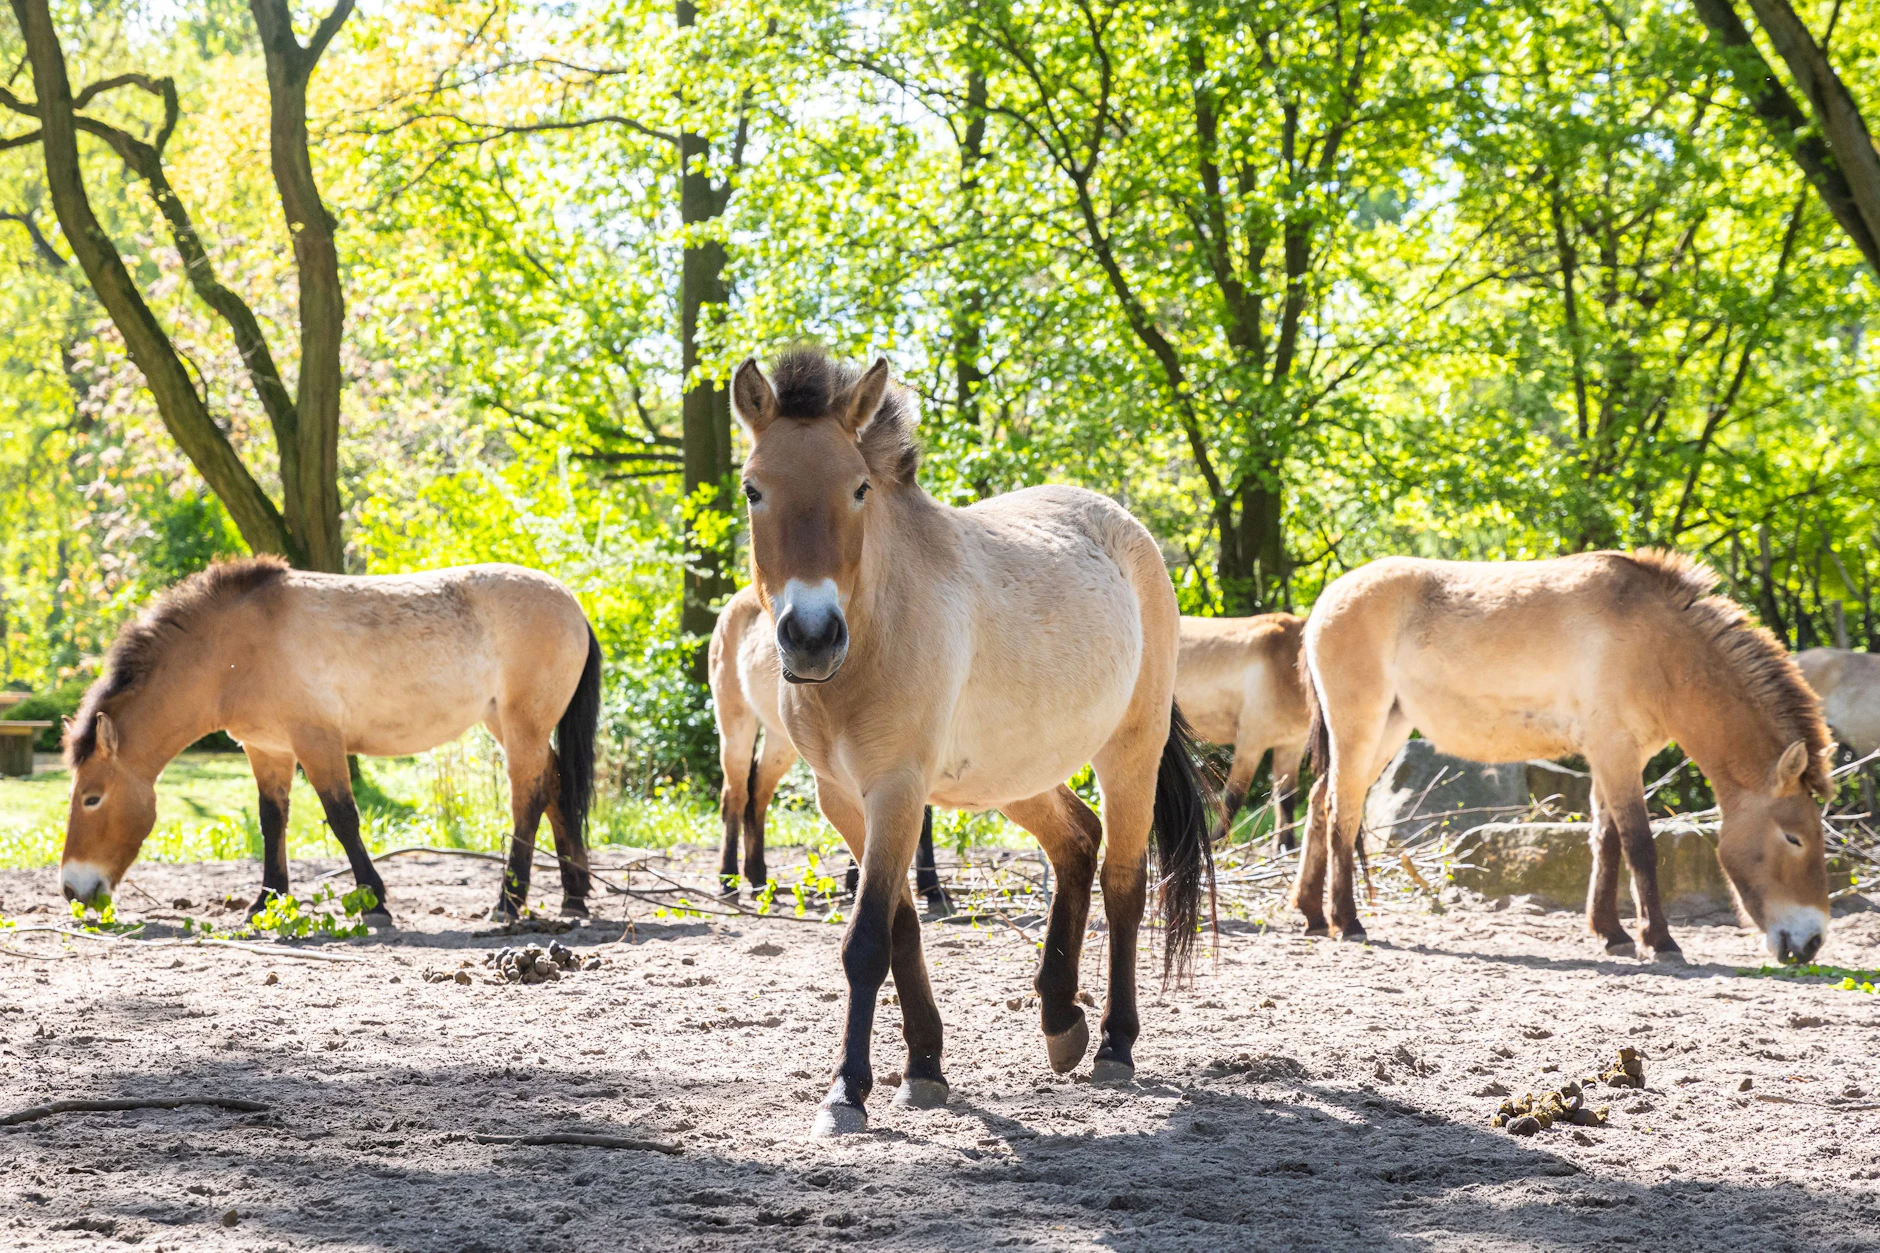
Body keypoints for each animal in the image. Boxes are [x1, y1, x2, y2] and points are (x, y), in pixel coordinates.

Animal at [59, 558, 600, 923]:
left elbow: (342, 818)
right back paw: (573, 895)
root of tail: (572, 604)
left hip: (522, 725)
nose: (71, 889)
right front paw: (266, 901)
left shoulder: (316, 741)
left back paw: (508, 902)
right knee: (554, 785)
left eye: (91, 798)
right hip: (507, 725)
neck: (233, 648)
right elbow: (272, 821)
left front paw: (375, 901)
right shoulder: (268, 749)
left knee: (528, 797)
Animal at [709, 585, 946, 910]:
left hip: (781, 741)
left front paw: (929, 887)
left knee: (757, 791)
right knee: (734, 795)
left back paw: (758, 879)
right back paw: (727, 881)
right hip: (736, 725)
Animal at [1176, 613, 1309, 848]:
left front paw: (1286, 847)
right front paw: (1215, 843)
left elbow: (1286, 798)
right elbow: (1233, 797)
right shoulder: (1251, 741)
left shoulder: (1291, 745)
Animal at [1291, 550, 1834, 965]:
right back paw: (1346, 922)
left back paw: (1313, 915)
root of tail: (1326, 600)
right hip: (1360, 728)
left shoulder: (1614, 757)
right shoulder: (1615, 751)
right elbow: (1640, 844)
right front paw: (1660, 941)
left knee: (1321, 800)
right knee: (1342, 811)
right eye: (1794, 838)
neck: (1658, 647)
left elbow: (1607, 841)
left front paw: (1612, 933)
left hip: (1387, 728)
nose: (1811, 941)